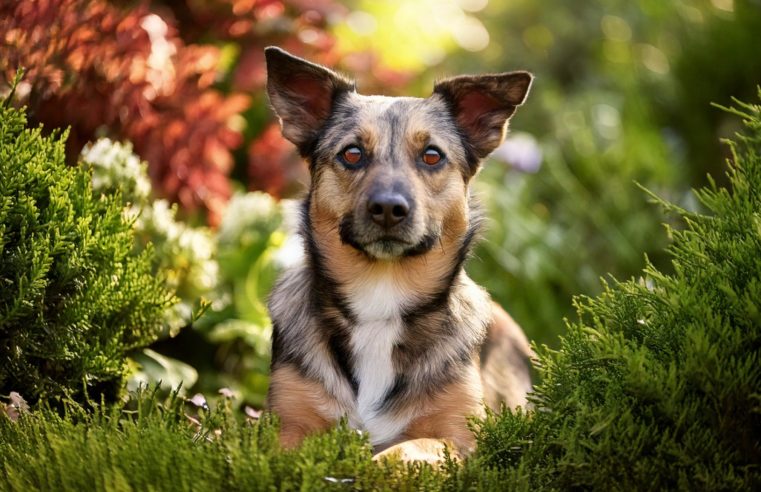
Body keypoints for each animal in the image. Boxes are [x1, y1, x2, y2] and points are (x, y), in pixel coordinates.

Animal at [264, 46, 532, 462]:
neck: (380, 299)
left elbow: (408, 448)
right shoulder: (286, 428)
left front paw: (375, 464)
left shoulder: (462, 441)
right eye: (352, 153)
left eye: (432, 156)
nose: (389, 208)